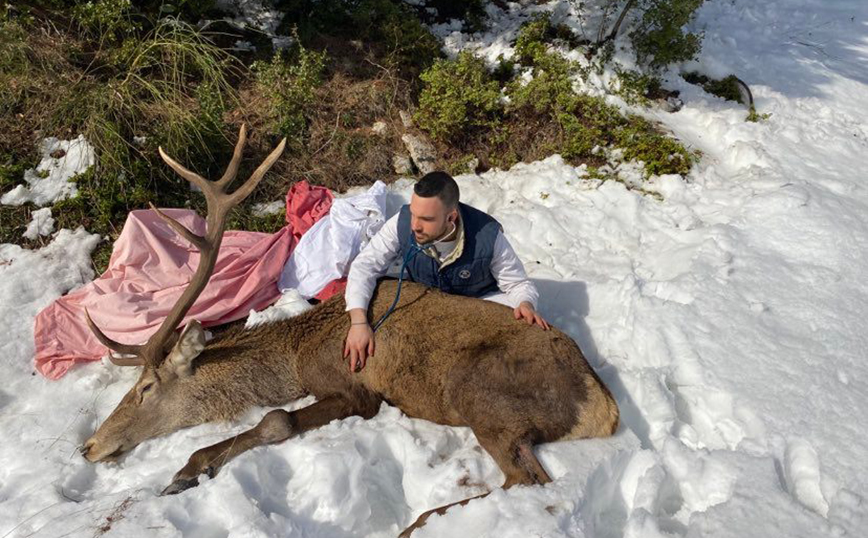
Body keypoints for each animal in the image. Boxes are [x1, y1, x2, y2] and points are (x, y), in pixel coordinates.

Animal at [76, 124, 616, 532]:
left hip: (482, 394)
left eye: (145, 388)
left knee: (527, 480)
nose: (90, 446)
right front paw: (188, 470)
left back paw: (420, 522)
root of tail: (605, 409)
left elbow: (277, 419)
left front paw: (187, 469)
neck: (296, 357)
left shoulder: (357, 389)